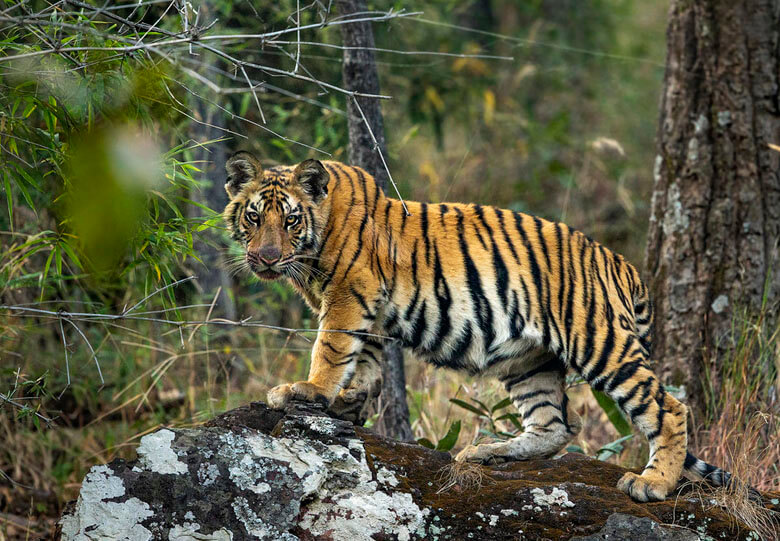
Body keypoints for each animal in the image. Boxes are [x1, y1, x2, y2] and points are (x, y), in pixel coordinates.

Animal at [224, 150, 736, 500]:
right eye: (254, 216)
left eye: (290, 221)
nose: (265, 258)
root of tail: (620, 263)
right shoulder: (371, 308)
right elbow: (363, 361)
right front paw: (347, 403)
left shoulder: (351, 294)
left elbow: (331, 349)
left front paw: (307, 391)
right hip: (530, 362)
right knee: (555, 426)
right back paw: (485, 452)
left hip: (598, 341)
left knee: (669, 408)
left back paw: (653, 483)